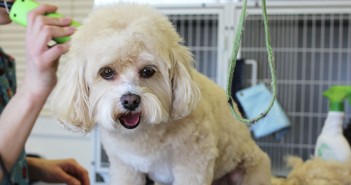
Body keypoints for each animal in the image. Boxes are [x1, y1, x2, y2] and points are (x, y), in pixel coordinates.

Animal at [51, 3, 272, 185]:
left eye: (148, 71)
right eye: (106, 72)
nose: (130, 100)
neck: (143, 134)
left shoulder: (194, 163)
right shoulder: (126, 167)